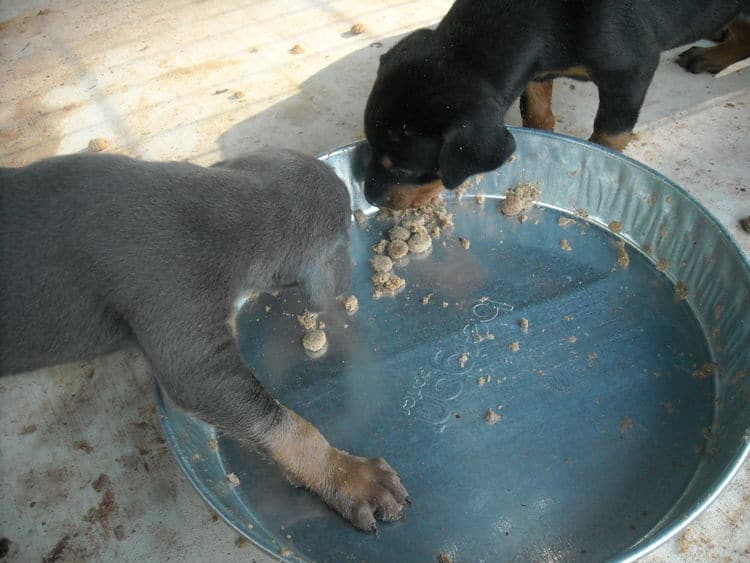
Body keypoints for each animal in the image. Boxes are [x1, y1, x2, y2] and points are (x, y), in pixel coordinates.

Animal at [364, 1, 750, 208]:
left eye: (405, 169)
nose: (369, 198)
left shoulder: (630, 72)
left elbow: (609, 136)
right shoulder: (536, 70)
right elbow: (536, 113)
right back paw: (714, 53)